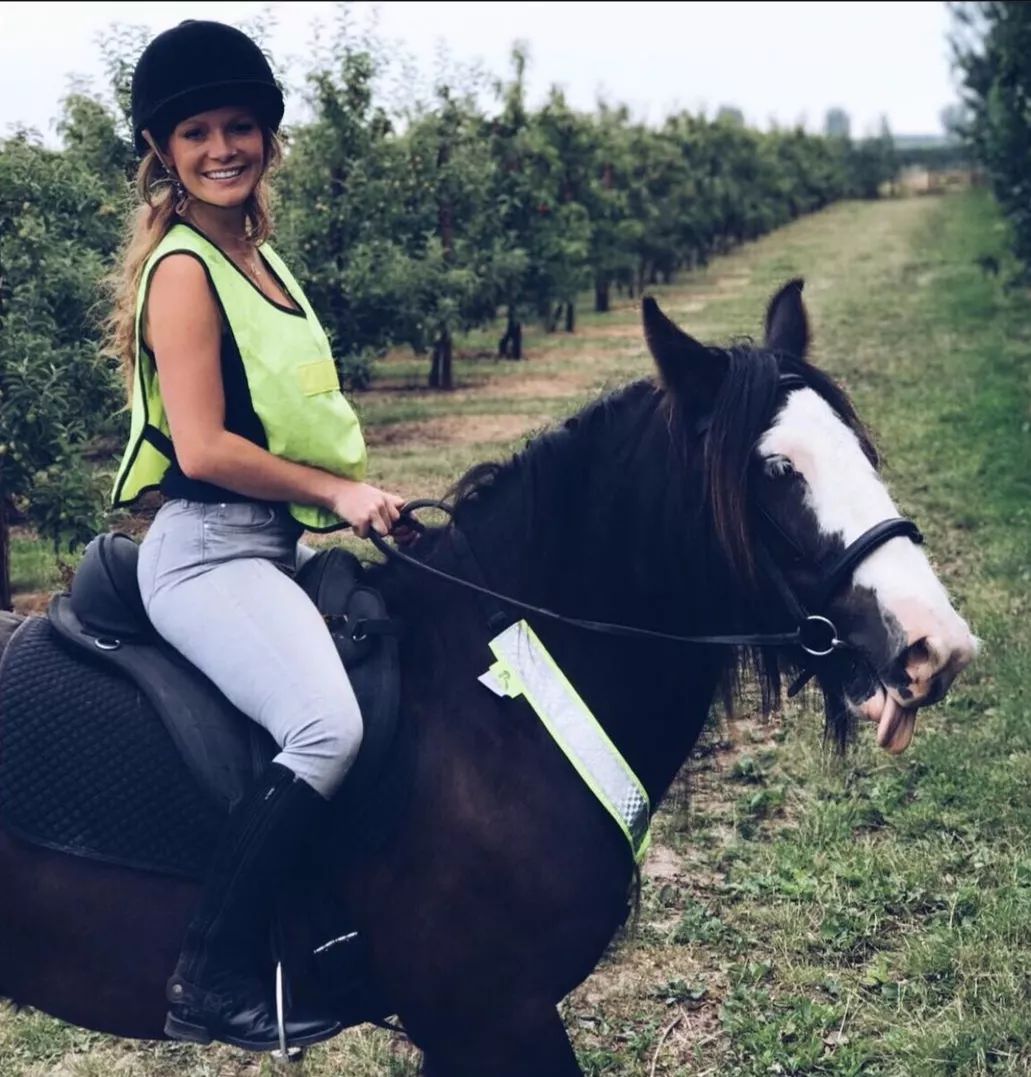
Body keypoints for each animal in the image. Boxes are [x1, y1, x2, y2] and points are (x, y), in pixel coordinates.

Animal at [0, 282, 973, 1072]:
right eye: (775, 469)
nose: (933, 642)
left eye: (861, 448)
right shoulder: (493, 1015)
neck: (490, 703)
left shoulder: (471, 1025)